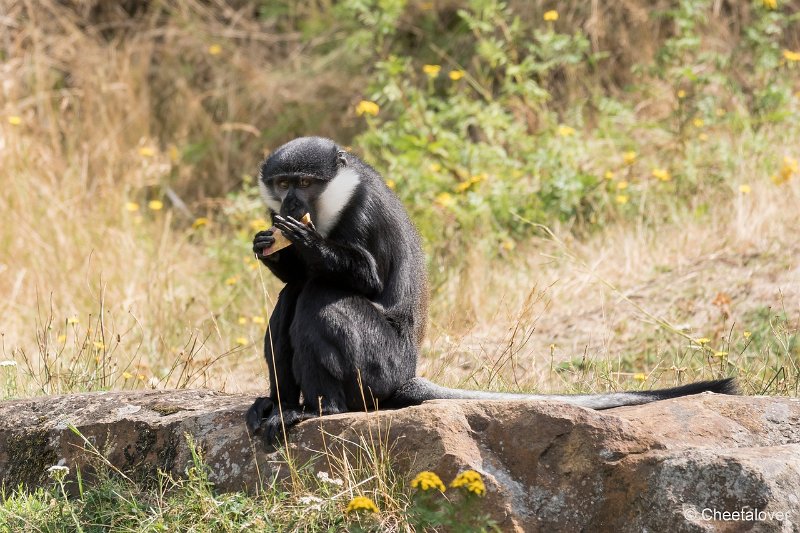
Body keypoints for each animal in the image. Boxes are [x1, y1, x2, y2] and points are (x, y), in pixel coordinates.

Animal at [244, 136, 736, 440]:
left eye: (306, 183)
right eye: (284, 183)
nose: (291, 203)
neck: (333, 200)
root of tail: (407, 374)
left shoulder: (361, 209)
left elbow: (365, 277)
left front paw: (306, 242)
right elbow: (294, 277)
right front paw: (267, 244)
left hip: (381, 363)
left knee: (321, 297)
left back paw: (321, 409)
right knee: (292, 298)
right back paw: (279, 404)